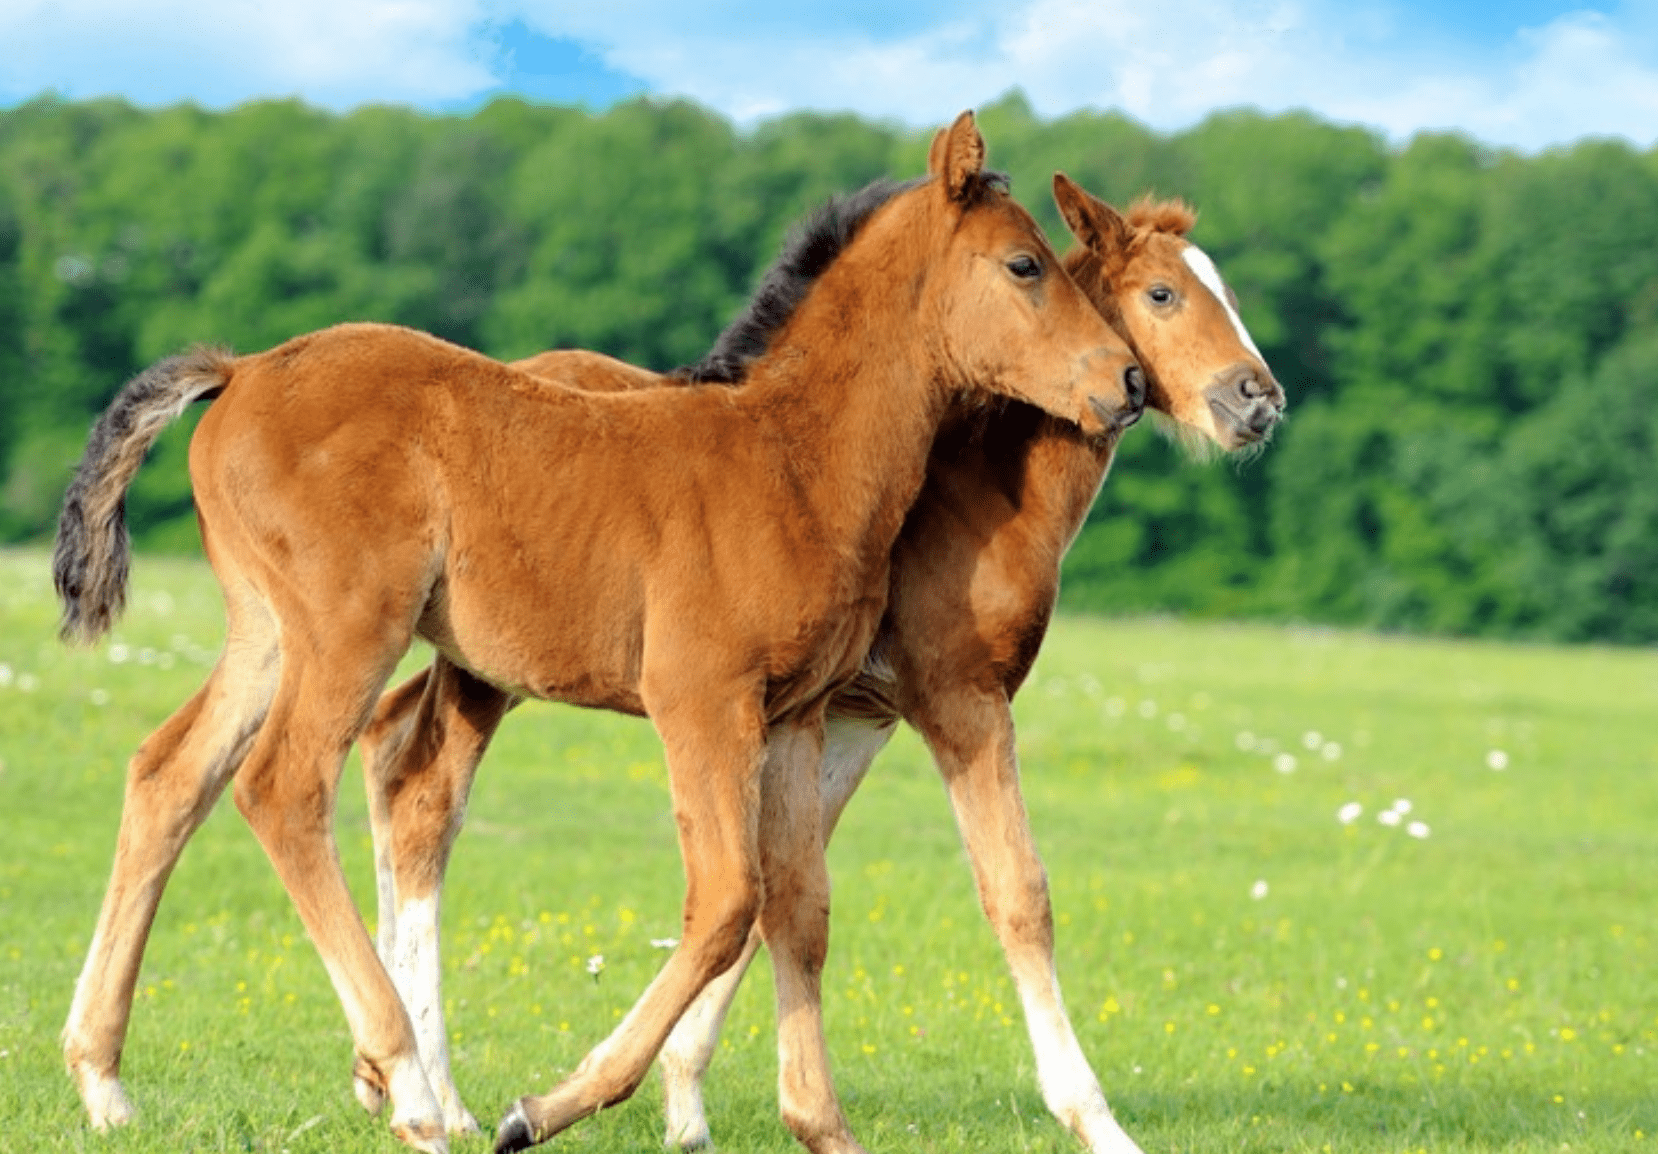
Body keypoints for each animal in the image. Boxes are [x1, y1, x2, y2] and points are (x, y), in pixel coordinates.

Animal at [48, 115, 1140, 1154]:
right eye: (1023, 265)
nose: (1126, 380)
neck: (792, 460)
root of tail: (238, 371)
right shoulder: (700, 699)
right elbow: (726, 900)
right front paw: (544, 1107)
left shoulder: (795, 715)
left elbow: (797, 906)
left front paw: (824, 1125)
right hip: (350, 627)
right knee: (281, 788)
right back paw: (410, 1089)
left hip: (266, 632)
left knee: (170, 775)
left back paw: (104, 1082)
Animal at [359, 173, 1279, 1154]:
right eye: (1163, 294)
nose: (1258, 399)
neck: (971, 495)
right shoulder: (958, 700)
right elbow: (1015, 894)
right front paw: (1096, 1120)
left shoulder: (847, 718)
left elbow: (781, 894)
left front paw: (687, 1102)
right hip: (492, 671)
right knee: (426, 797)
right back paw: (436, 1095)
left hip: (477, 662)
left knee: (391, 749)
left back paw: (388, 1079)